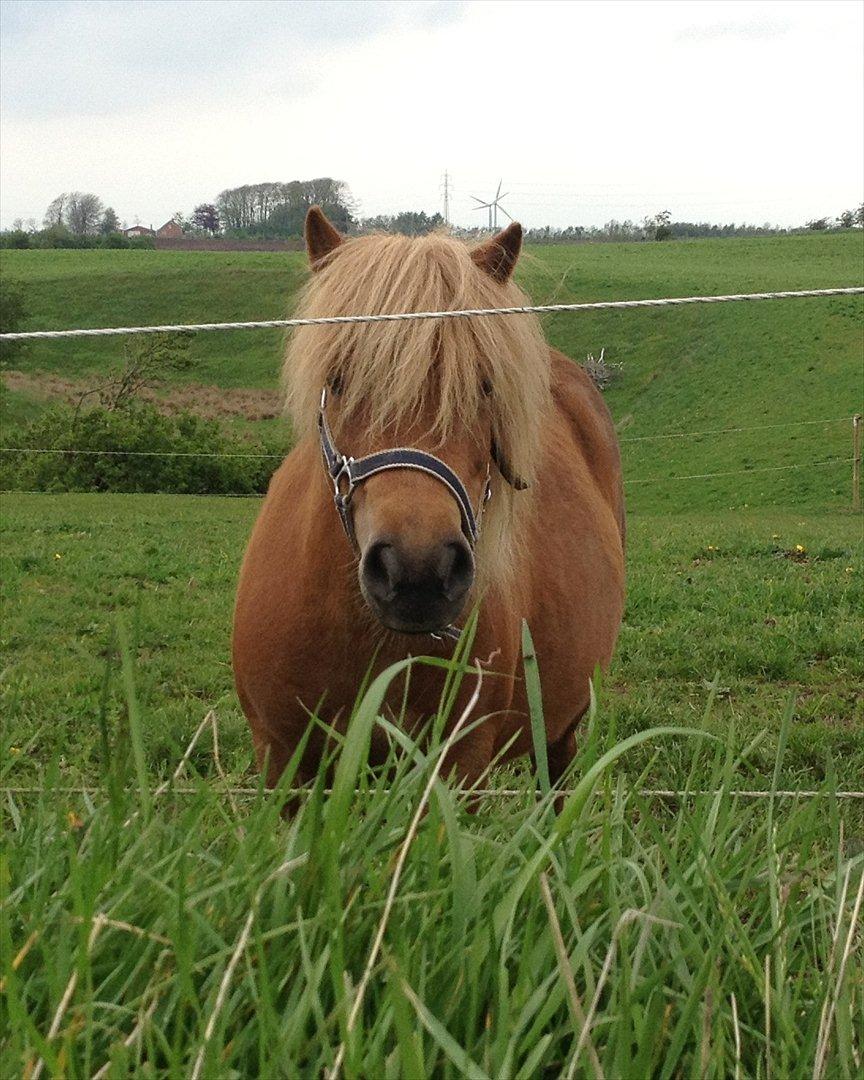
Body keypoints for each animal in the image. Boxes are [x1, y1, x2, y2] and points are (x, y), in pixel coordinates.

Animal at [228, 208, 626, 794]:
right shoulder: (281, 760)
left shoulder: (456, 769)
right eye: (338, 380)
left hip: (562, 731)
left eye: (484, 386)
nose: (417, 571)